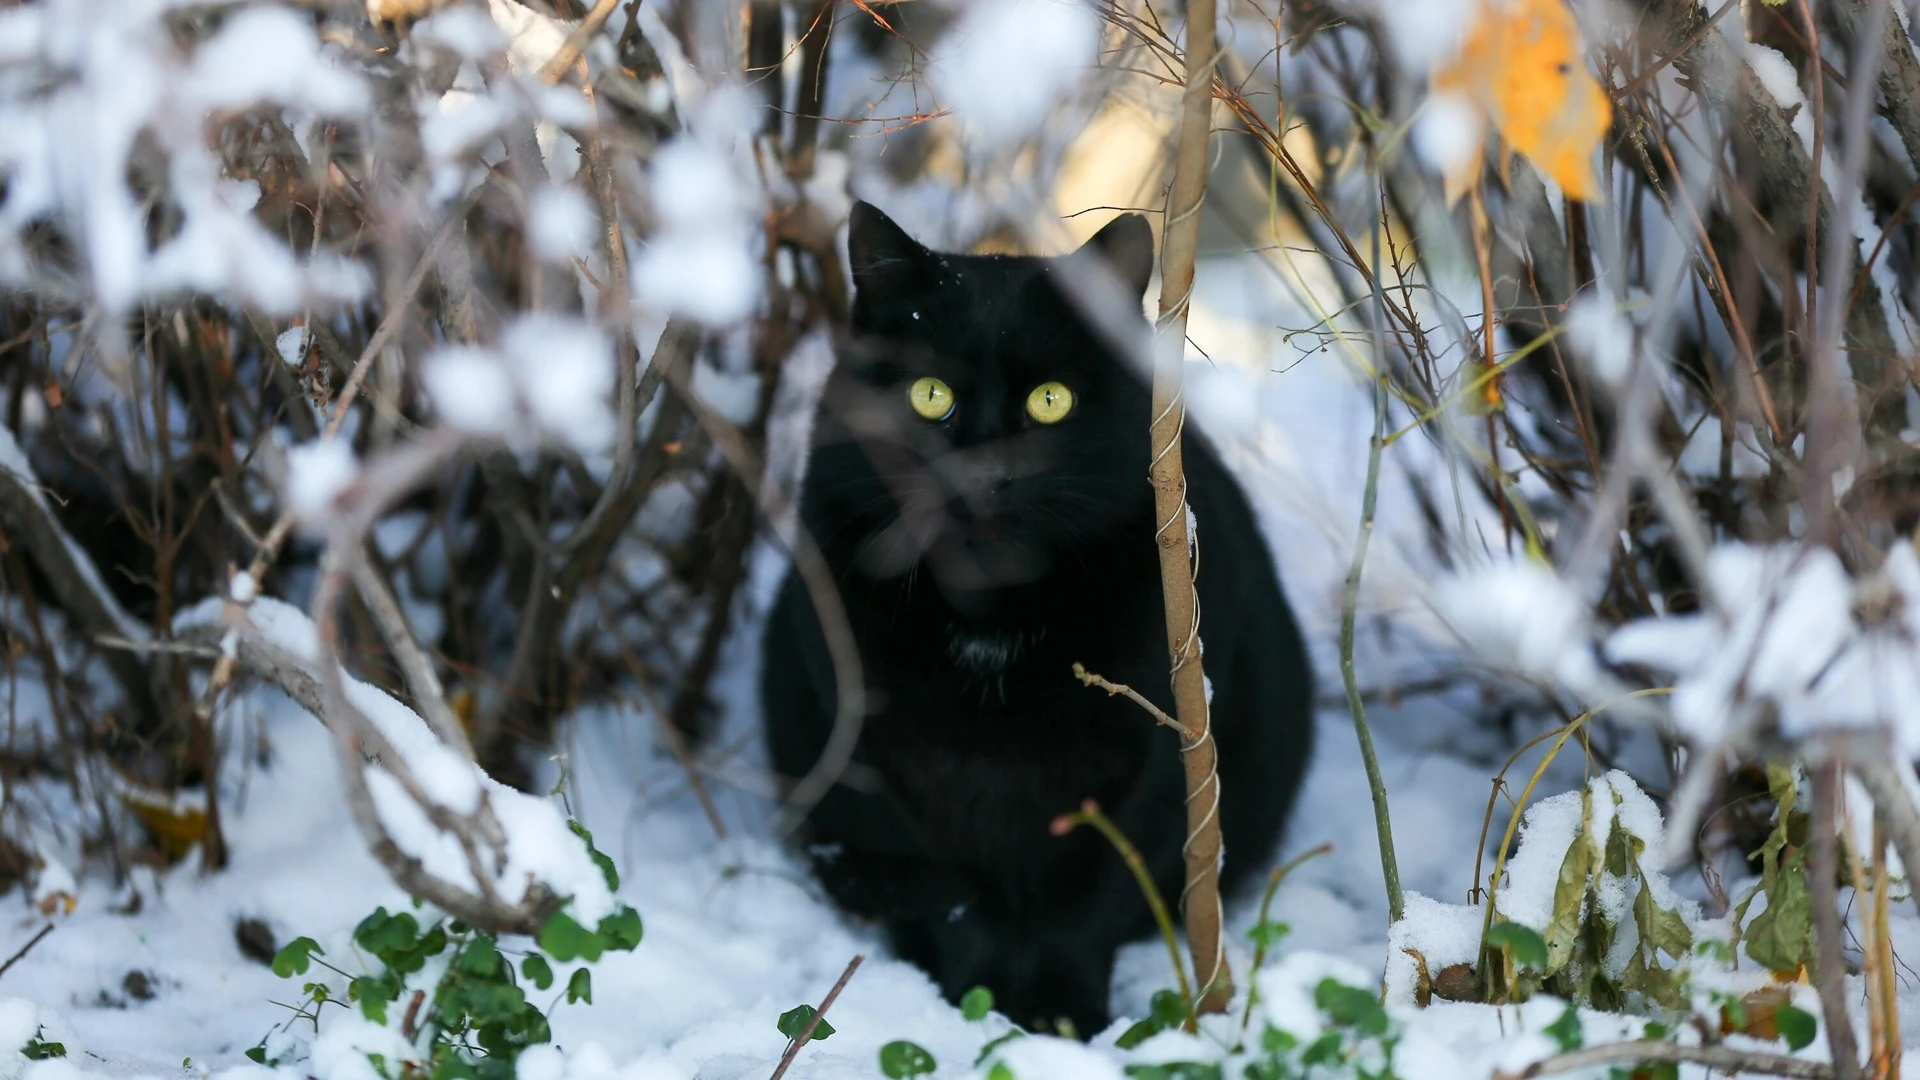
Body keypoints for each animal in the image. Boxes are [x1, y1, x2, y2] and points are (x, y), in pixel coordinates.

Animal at [764, 201, 1320, 1037]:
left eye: (1050, 400)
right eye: (930, 394)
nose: (984, 474)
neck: (993, 617)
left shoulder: (1161, 755)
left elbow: (1090, 899)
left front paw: (1062, 1021)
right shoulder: (877, 756)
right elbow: (956, 896)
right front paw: (976, 1007)